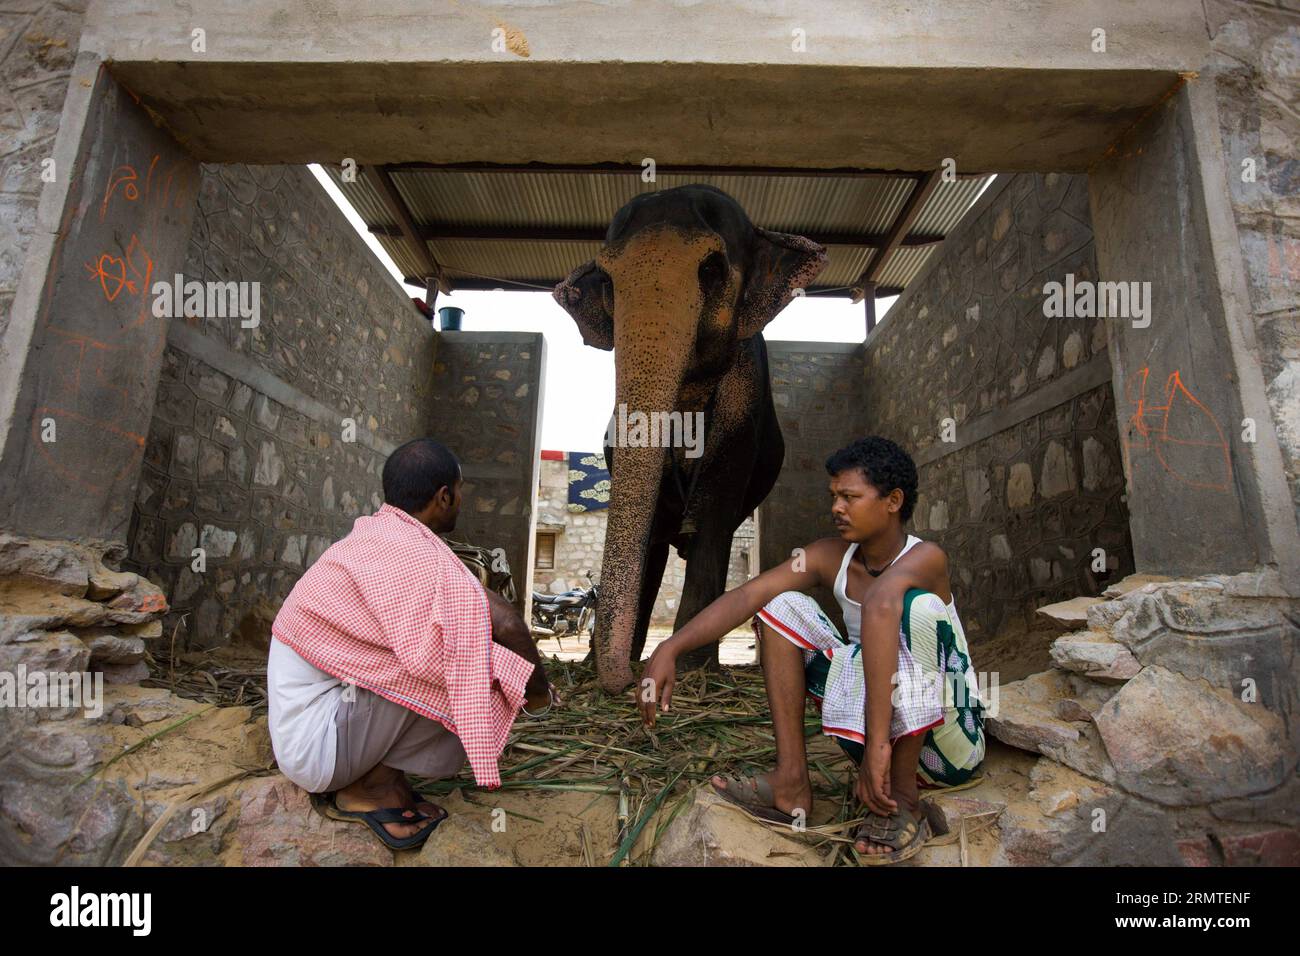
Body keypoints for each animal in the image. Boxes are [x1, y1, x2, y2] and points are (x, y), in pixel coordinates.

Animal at [553, 183, 826, 691]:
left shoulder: (745, 393)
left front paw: (689, 671)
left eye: (712, 270)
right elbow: (652, 526)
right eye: (608, 282)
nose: (621, 682)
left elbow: (713, 511)